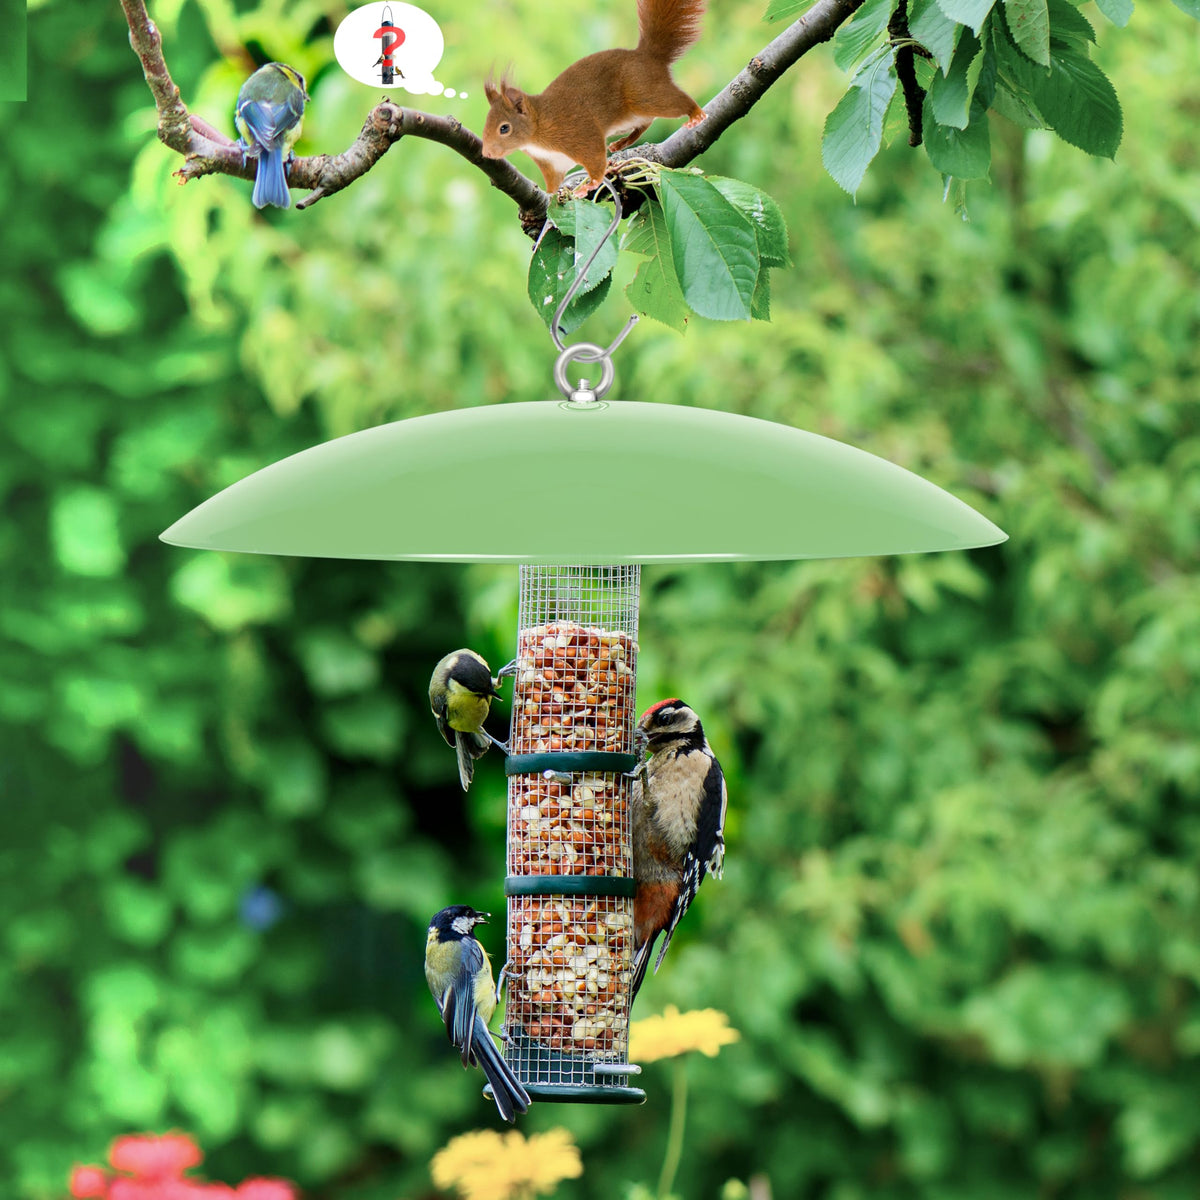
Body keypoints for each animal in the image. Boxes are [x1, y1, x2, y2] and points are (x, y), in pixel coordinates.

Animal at [480, 0, 707, 196]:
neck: (538, 127)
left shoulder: (579, 132)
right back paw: (621, 143)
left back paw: (695, 113)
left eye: (504, 128)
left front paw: (590, 184)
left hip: (646, 95)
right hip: (630, 116)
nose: (486, 154)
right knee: (645, 123)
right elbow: (554, 181)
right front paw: (551, 194)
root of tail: (648, 56)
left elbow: (595, 159)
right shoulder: (552, 162)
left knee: (673, 102)